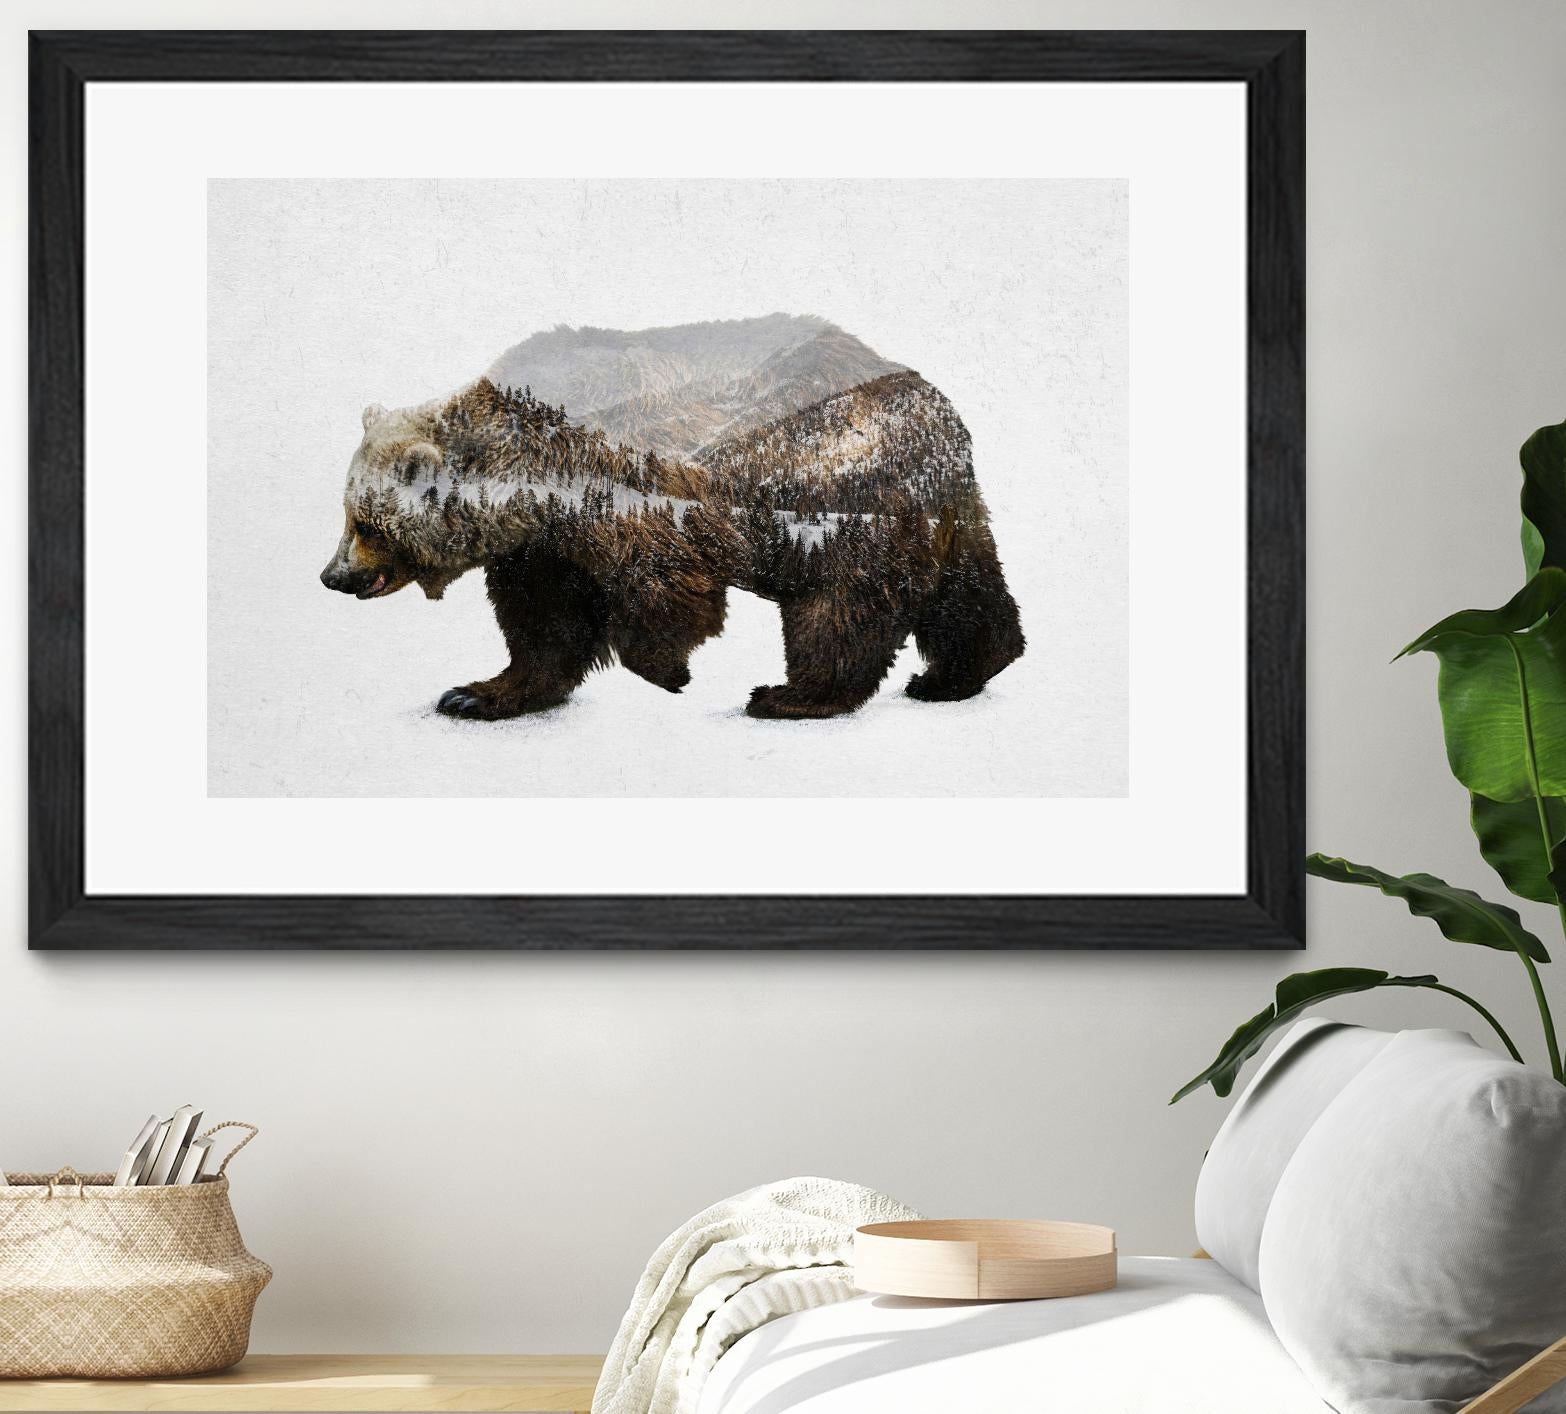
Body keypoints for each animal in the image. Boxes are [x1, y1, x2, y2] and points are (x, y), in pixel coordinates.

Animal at [319, 315, 1025, 720]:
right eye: (347, 514)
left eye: (367, 523)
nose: (332, 575)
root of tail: (941, 413)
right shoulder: (543, 543)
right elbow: (542, 623)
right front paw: (476, 693)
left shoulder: (630, 491)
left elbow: (663, 589)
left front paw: (669, 671)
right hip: (937, 512)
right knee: (968, 593)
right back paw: (955, 675)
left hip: (834, 485)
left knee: (840, 603)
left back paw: (790, 696)